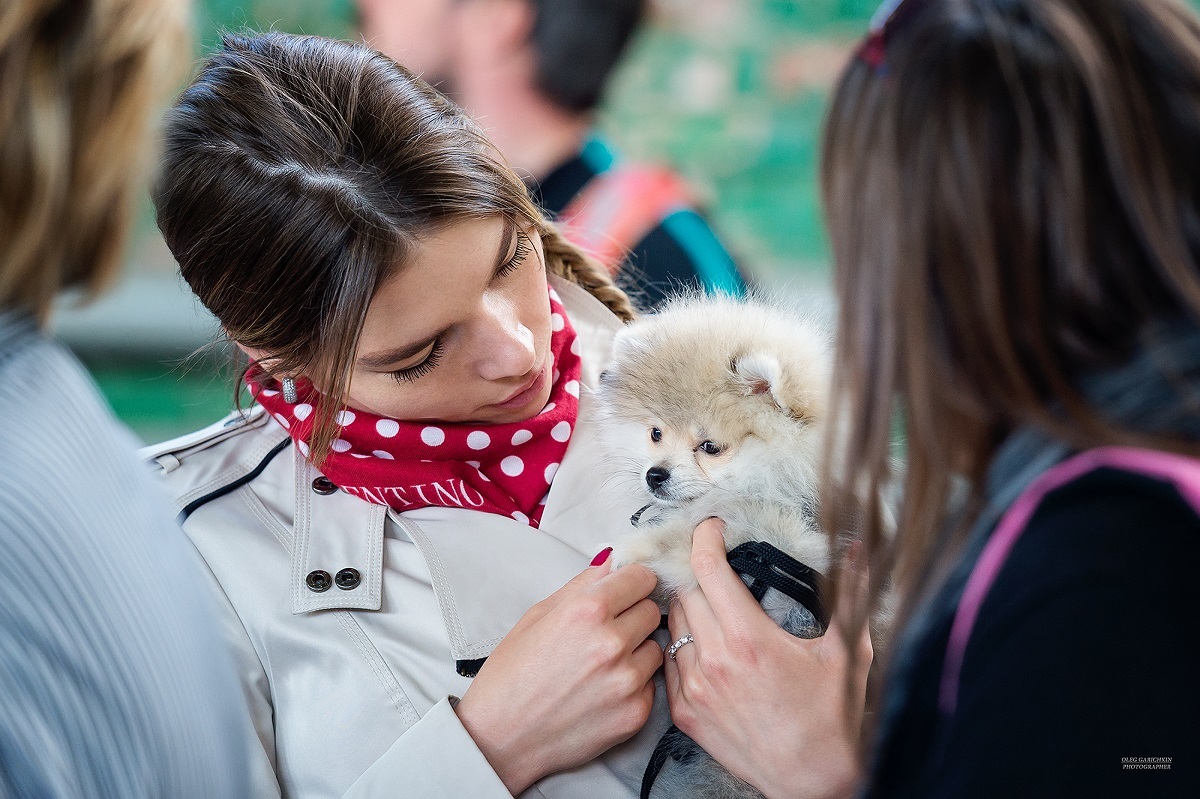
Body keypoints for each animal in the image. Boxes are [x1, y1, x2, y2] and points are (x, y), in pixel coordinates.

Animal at [597, 292, 849, 796]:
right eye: (655, 433)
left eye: (710, 446)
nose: (655, 475)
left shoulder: (762, 535)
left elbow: (678, 542)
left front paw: (631, 553)